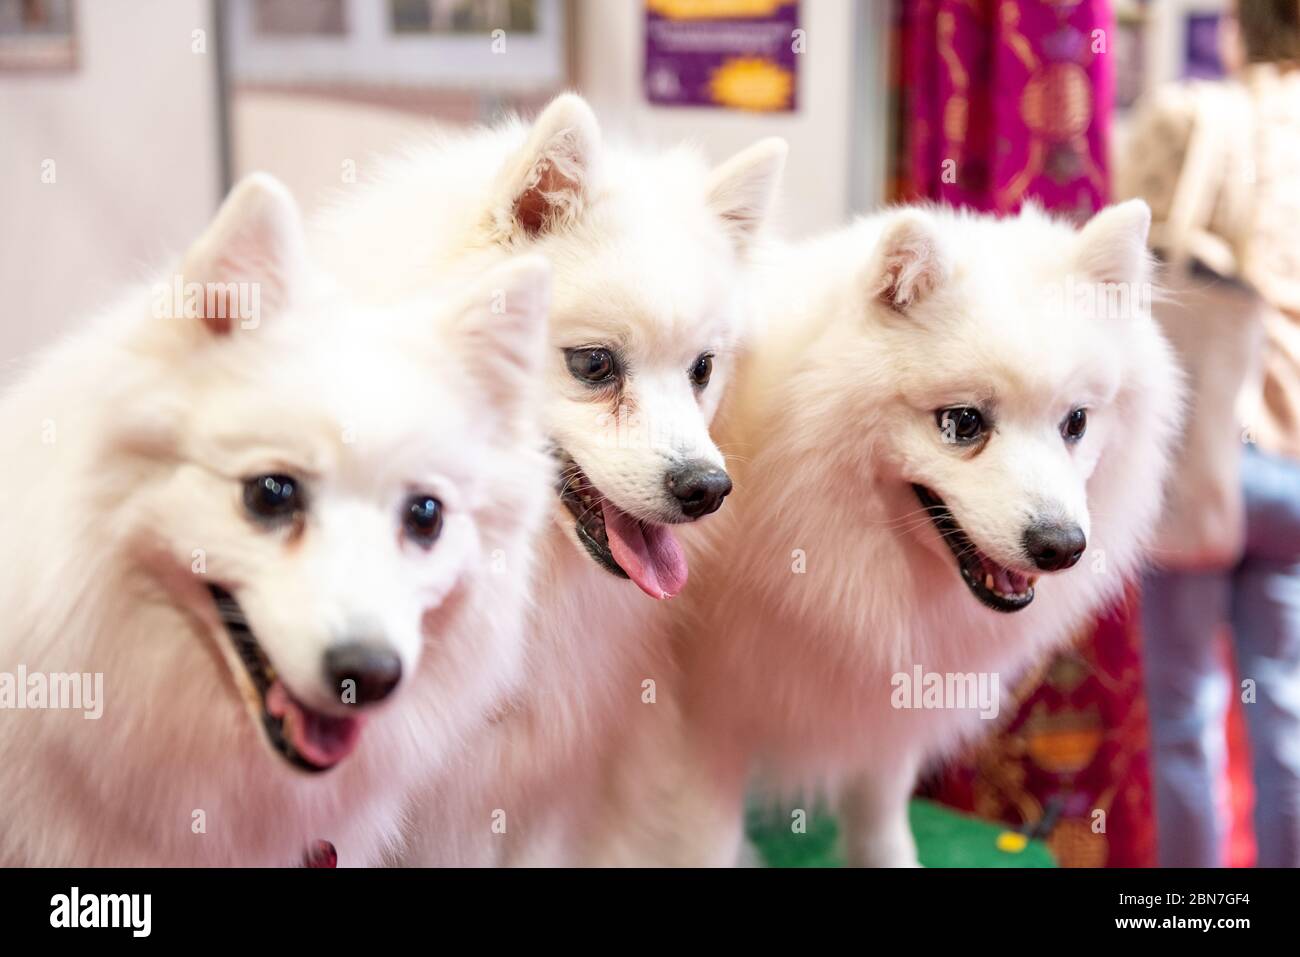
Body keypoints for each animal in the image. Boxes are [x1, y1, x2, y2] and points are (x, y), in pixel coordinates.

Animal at [665, 200, 1185, 868]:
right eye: (963, 422)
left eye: (1076, 422)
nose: (1062, 547)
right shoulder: (696, 730)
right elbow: (701, 842)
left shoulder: (882, 714)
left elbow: (880, 815)